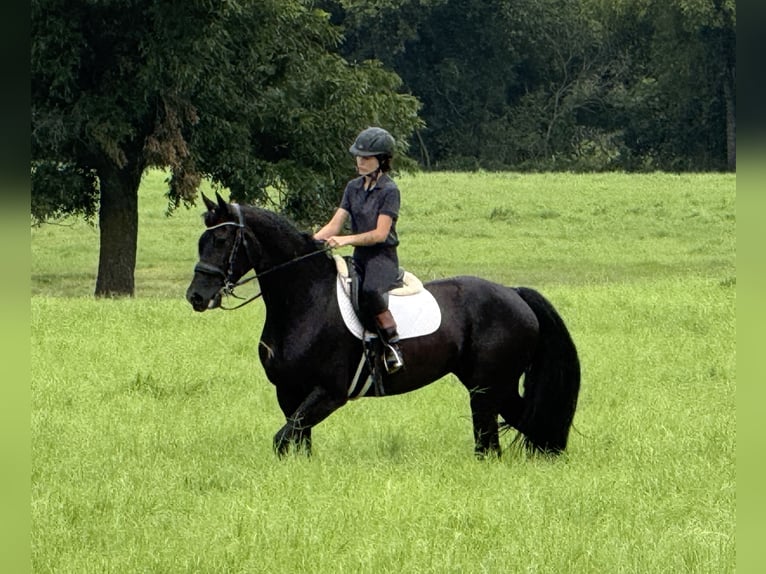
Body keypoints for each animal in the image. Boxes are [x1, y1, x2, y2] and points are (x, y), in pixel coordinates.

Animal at [186, 192, 580, 458]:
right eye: (202, 240)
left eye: (221, 240)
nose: (196, 296)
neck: (305, 301)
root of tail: (514, 293)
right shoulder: (290, 392)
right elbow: (296, 443)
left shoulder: (329, 393)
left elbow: (282, 439)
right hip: (489, 386)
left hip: (487, 387)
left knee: (501, 437)